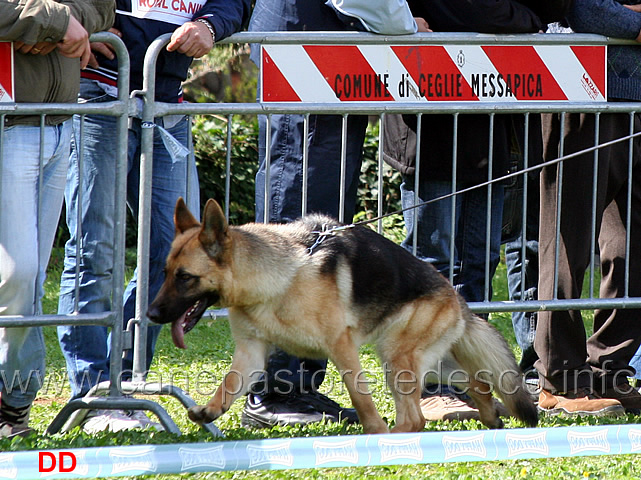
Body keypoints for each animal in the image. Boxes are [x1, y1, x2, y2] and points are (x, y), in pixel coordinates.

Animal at [148, 197, 536, 434]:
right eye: (165, 272)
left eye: (185, 277)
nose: (151, 314)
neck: (278, 280)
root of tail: (459, 300)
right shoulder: (251, 352)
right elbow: (228, 385)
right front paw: (210, 412)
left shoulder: (341, 346)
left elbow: (360, 397)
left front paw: (374, 430)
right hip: (429, 362)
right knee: (478, 383)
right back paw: (490, 418)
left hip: (398, 360)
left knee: (416, 419)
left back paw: (391, 437)